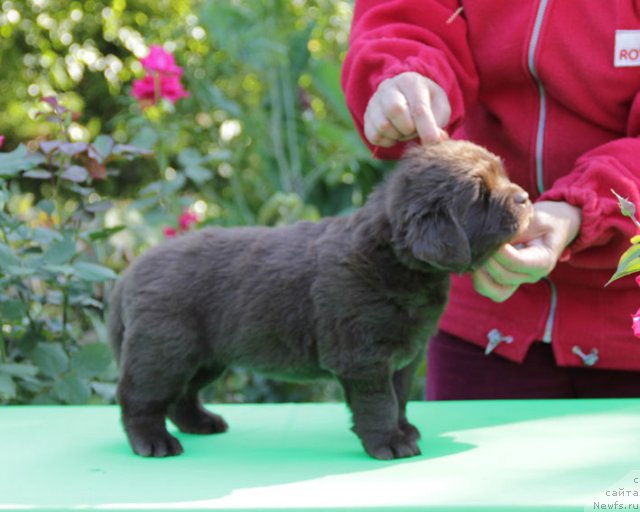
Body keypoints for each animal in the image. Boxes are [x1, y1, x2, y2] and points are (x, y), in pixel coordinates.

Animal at [109, 140, 528, 460]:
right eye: (480, 196)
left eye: (502, 174)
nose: (524, 197)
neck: (396, 260)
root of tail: (129, 273)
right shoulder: (363, 357)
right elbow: (380, 401)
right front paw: (390, 443)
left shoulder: (406, 356)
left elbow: (401, 396)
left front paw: (405, 429)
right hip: (164, 349)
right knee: (139, 396)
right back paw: (154, 441)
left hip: (206, 356)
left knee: (183, 393)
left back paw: (202, 423)